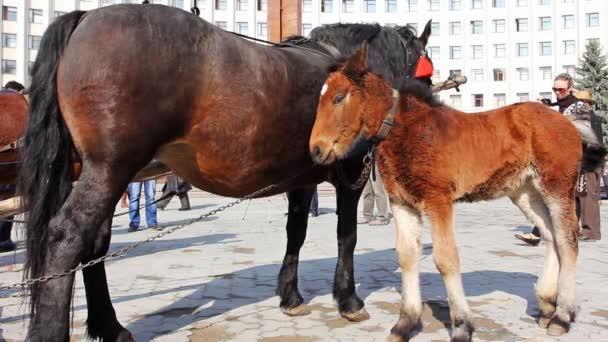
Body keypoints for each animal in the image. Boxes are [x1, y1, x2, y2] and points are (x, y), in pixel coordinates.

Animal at [19, 5, 432, 342]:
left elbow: (296, 233)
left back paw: (111, 326)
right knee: (67, 236)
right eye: (423, 71)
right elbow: (347, 236)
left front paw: (291, 296)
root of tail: (87, 16)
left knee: (95, 244)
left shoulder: (301, 178)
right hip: (110, 169)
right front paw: (348, 299)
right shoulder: (350, 174)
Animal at [312, 43, 604, 342]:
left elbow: (446, 259)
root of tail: (570, 123)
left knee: (568, 238)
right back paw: (546, 307)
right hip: (525, 192)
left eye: (338, 97)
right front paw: (405, 324)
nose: (317, 150)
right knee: (550, 234)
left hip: (557, 186)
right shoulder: (401, 202)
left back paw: (562, 316)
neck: (406, 130)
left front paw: (462, 326)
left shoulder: (437, 200)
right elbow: (407, 256)